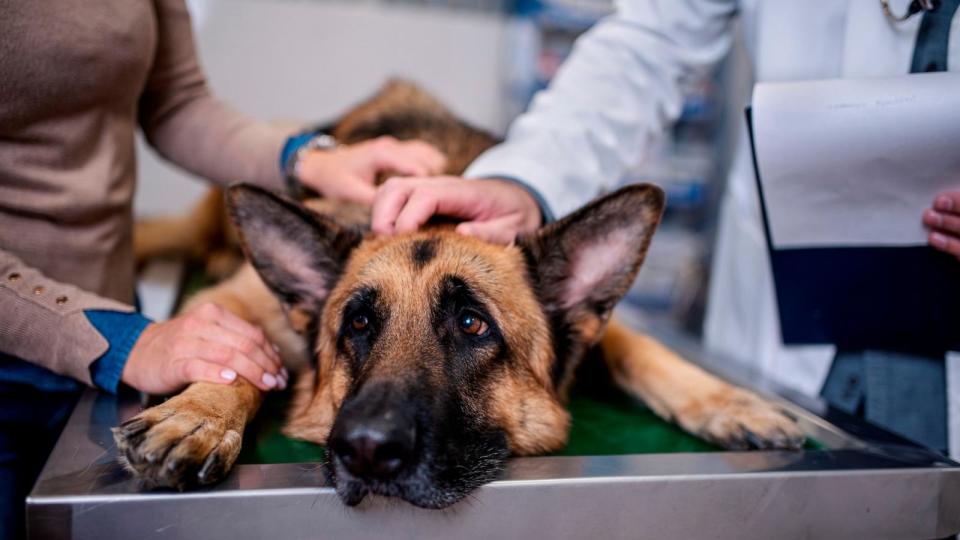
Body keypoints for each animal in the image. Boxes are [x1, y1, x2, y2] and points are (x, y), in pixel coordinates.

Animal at [116, 80, 808, 506]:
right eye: (358, 325)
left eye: (474, 324)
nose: (365, 450)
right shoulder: (234, 304)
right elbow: (229, 354)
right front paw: (198, 415)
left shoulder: (602, 329)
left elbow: (643, 348)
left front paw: (728, 402)